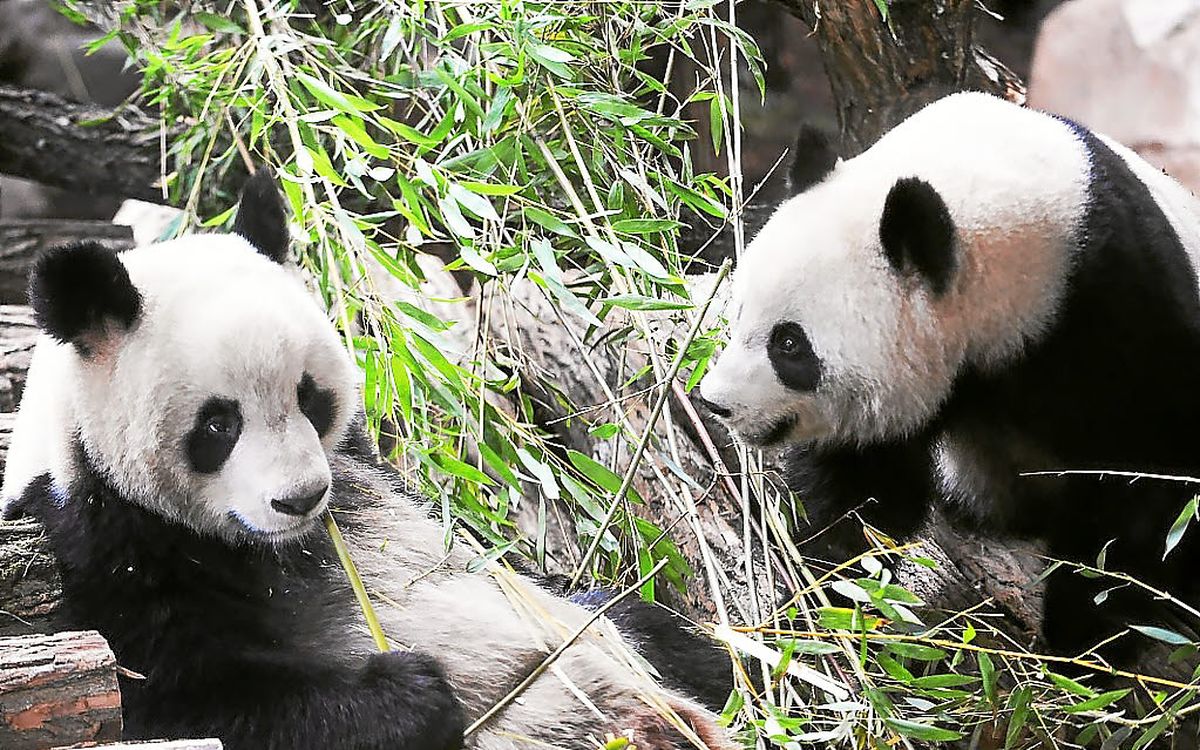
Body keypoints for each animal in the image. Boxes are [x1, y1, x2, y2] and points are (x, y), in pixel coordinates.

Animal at [1, 172, 735, 750]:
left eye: (308, 395)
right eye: (217, 424)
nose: (299, 499)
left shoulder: (366, 469)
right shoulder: (105, 546)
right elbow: (173, 697)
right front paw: (411, 694)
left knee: (643, 625)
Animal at [697, 91, 1200, 662]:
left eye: (789, 345)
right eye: (737, 312)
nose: (716, 402)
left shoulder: (1119, 307)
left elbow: (1144, 483)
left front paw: (1088, 643)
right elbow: (860, 496)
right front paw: (827, 600)